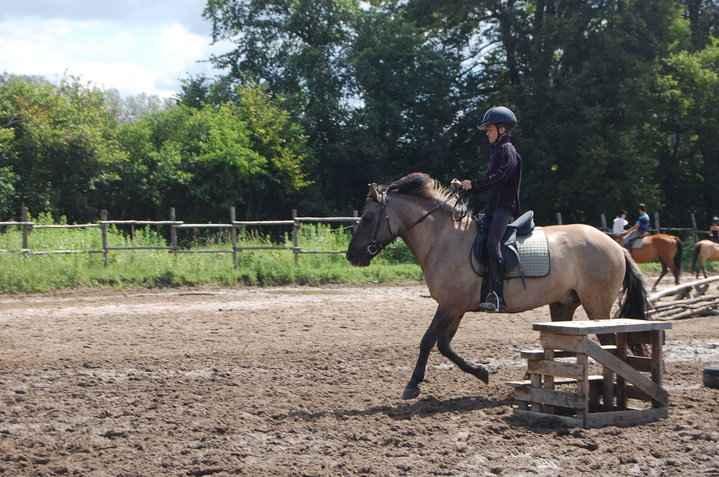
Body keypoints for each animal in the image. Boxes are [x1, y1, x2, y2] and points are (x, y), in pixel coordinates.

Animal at [348, 173, 652, 400]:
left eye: (368, 218)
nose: (352, 256)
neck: (443, 238)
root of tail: (615, 244)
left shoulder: (448, 305)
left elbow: (427, 341)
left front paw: (412, 385)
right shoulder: (455, 307)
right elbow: (444, 344)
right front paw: (481, 372)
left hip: (596, 303)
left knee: (609, 343)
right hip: (563, 303)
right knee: (562, 345)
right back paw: (530, 381)